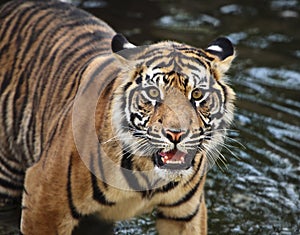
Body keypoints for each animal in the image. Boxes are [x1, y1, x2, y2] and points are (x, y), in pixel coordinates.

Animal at [0, 0, 234, 235]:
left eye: (197, 94)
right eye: (153, 93)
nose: (176, 134)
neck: (147, 172)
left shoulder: (185, 214)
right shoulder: (45, 201)